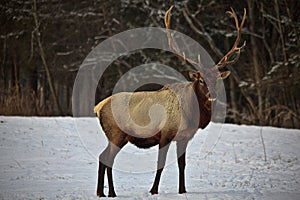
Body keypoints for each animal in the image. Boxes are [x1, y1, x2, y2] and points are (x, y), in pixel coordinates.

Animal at [94, 5, 246, 197]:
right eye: (201, 80)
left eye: (217, 79)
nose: (212, 95)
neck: (191, 114)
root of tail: (98, 107)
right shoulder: (165, 133)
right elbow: (161, 164)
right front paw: (153, 190)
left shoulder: (185, 137)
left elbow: (182, 164)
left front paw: (182, 190)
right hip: (116, 133)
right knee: (106, 158)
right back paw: (109, 193)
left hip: (118, 136)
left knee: (104, 157)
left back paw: (103, 192)